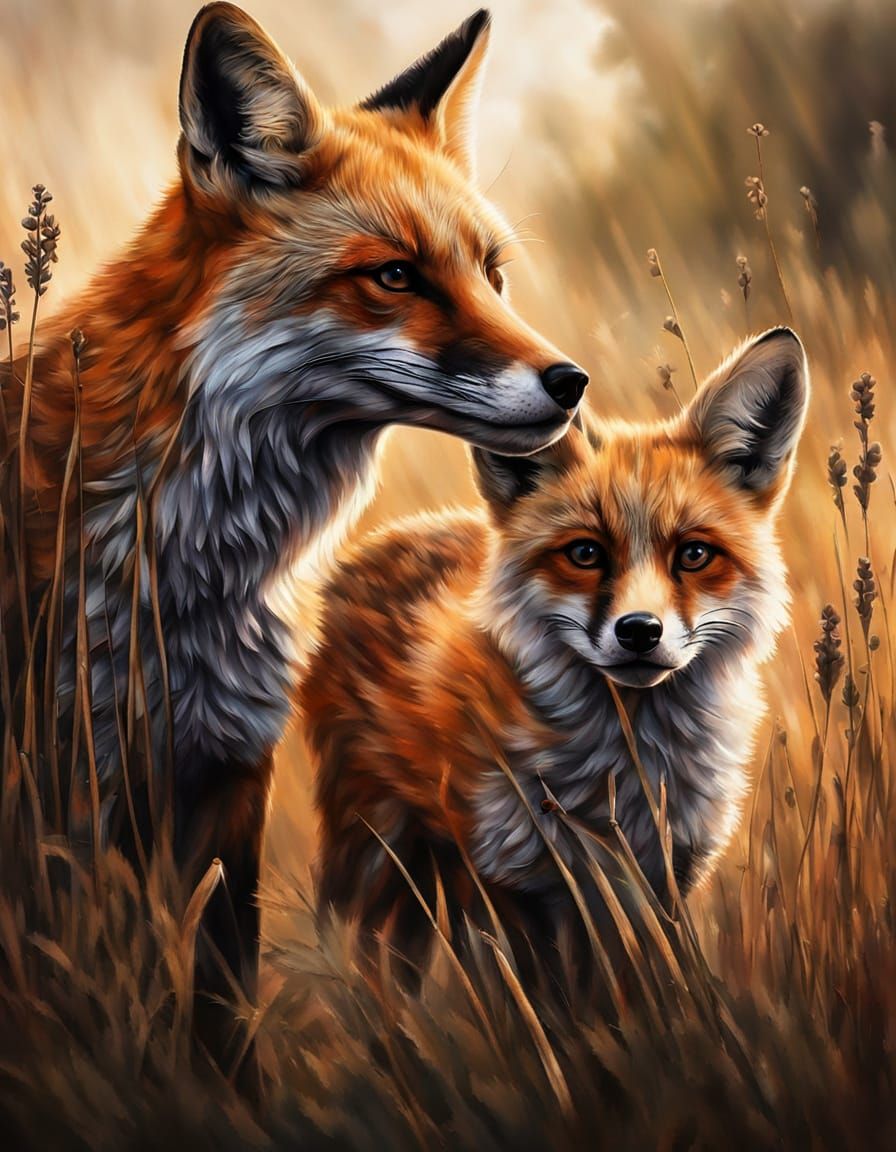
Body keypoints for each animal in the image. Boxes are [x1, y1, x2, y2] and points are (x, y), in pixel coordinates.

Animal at [0, 4, 587, 1074]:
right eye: (394, 277)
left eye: (491, 274)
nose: (571, 383)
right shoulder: (58, 781)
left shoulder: (230, 767)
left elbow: (223, 1002)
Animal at [302, 327, 809, 988]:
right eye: (586, 553)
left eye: (694, 554)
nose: (639, 631)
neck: (621, 776)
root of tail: (386, 538)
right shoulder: (505, 876)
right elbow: (544, 998)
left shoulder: (661, 879)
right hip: (379, 851)